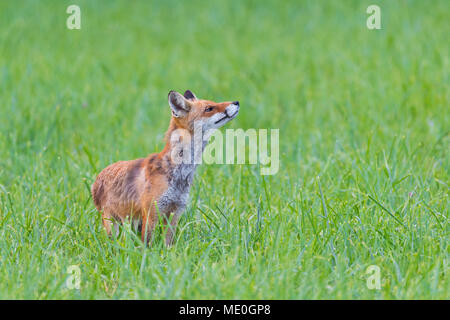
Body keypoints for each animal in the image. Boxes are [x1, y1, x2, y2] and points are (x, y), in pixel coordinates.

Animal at [91, 90, 239, 245]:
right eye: (209, 108)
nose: (236, 102)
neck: (179, 174)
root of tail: (98, 177)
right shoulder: (152, 212)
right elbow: (146, 244)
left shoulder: (176, 210)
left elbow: (168, 242)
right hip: (112, 223)